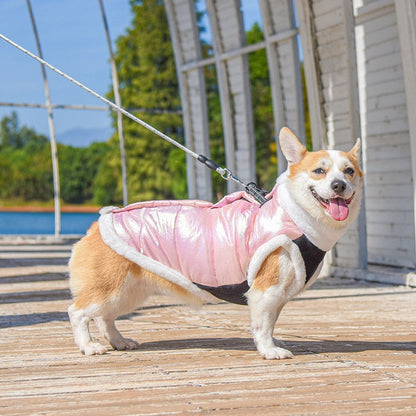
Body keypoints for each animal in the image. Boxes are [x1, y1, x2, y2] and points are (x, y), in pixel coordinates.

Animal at [66, 128, 362, 360]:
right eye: (319, 171)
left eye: (349, 172)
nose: (338, 185)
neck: (295, 216)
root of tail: (96, 226)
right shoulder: (265, 291)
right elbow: (263, 327)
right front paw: (269, 350)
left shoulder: (277, 296)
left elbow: (270, 323)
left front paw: (271, 343)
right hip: (111, 289)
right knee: (78, 312)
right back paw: (89, 346)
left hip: (129, 292)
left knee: (105, 317)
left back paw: (119, 342)